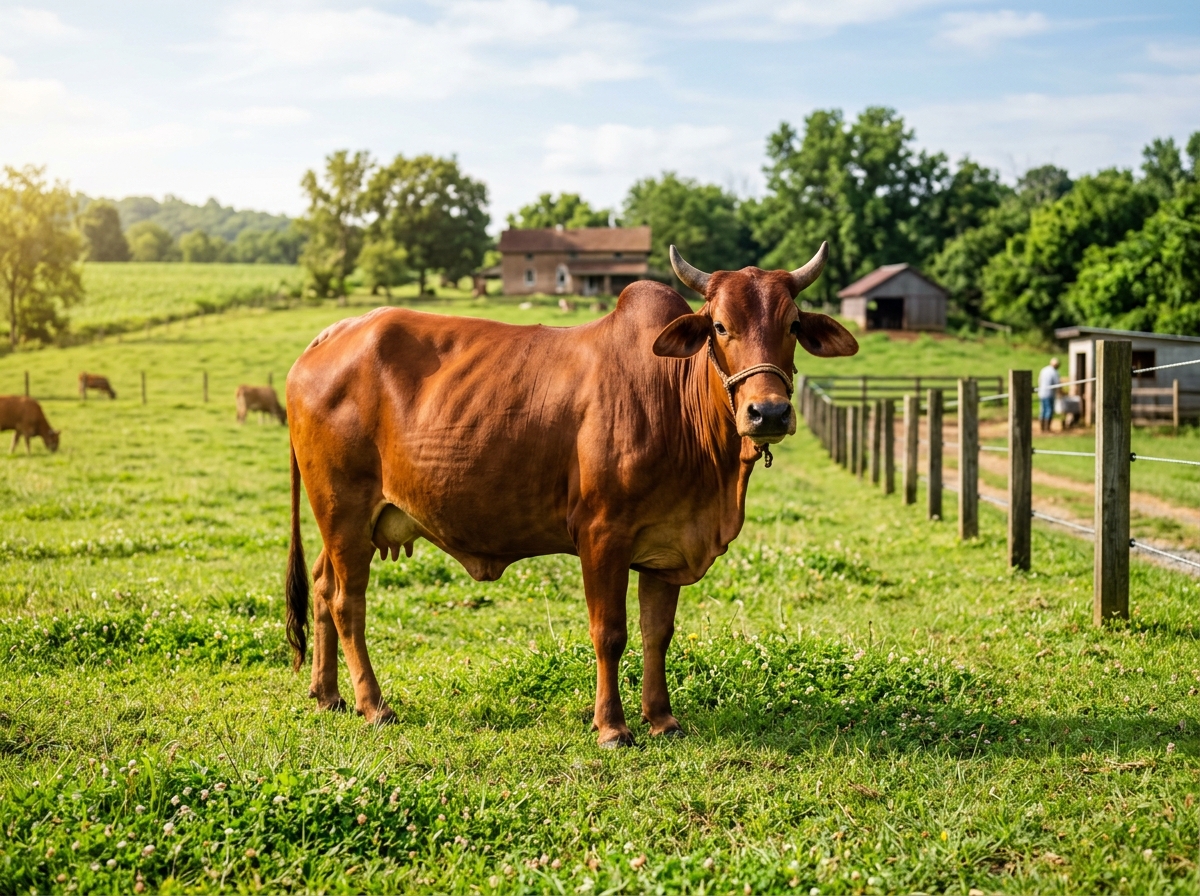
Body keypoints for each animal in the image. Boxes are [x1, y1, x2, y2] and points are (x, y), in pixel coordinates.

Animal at [284, 244, 858, 745]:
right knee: (347, 601)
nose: (769, 413)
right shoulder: (602, 535)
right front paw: (612, 727)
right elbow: (610, 633)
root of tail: (325, 339)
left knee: (322, 586)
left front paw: (662, 719)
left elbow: (658, 633)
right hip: (343, 508)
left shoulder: (665, 543)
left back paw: (327, 695)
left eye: (792, 325)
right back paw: (373, 704)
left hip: (348, 521)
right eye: (719, 326)